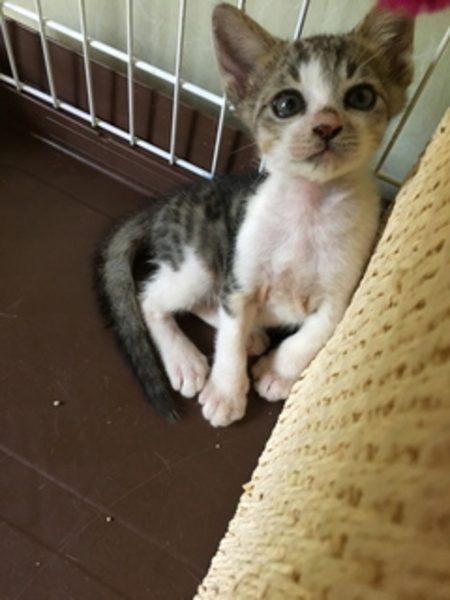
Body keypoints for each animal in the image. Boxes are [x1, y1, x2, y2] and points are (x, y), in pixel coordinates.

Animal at [96, 4, 414, 427]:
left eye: (361, 97)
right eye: (287, 104)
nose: (327, 126)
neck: (308, 208)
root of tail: (163, 203)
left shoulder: (343, 294)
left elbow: (314, 335)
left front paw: (278, 372)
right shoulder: (239, 277)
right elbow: (228, 337)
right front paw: (226, 393)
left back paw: (253, 337)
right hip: (198, 262)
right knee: (152, 299)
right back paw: (186, 360)